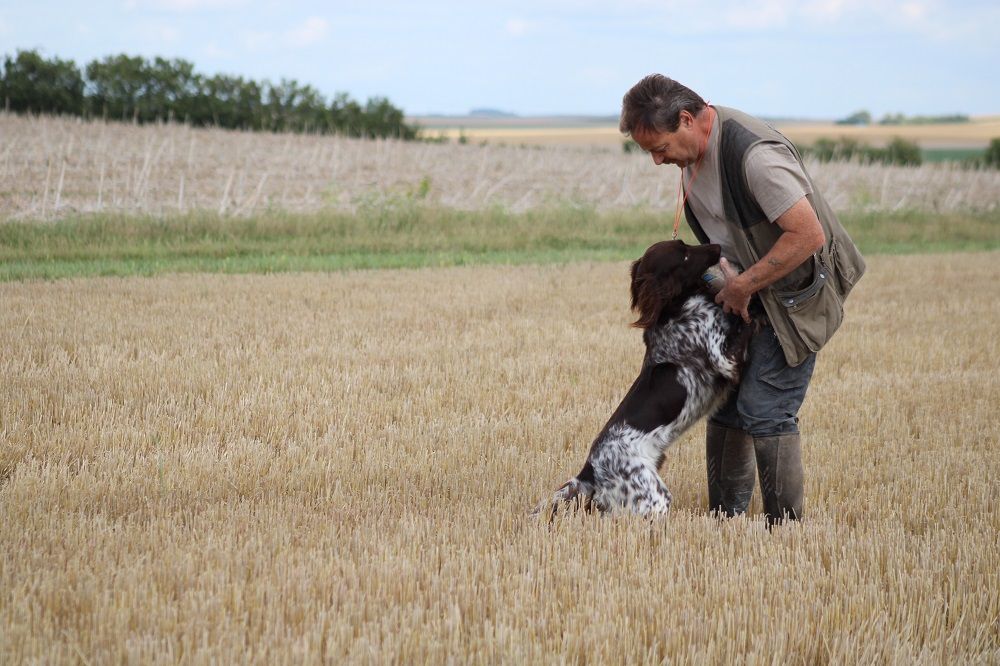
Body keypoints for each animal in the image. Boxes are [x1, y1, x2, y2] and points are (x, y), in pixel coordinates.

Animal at [540, 240, 752, 520]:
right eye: (684, 254)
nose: (716, 246)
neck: (676, 308)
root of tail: (590, 470)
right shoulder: (724, 358)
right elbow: (744, 324)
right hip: (654, 497)